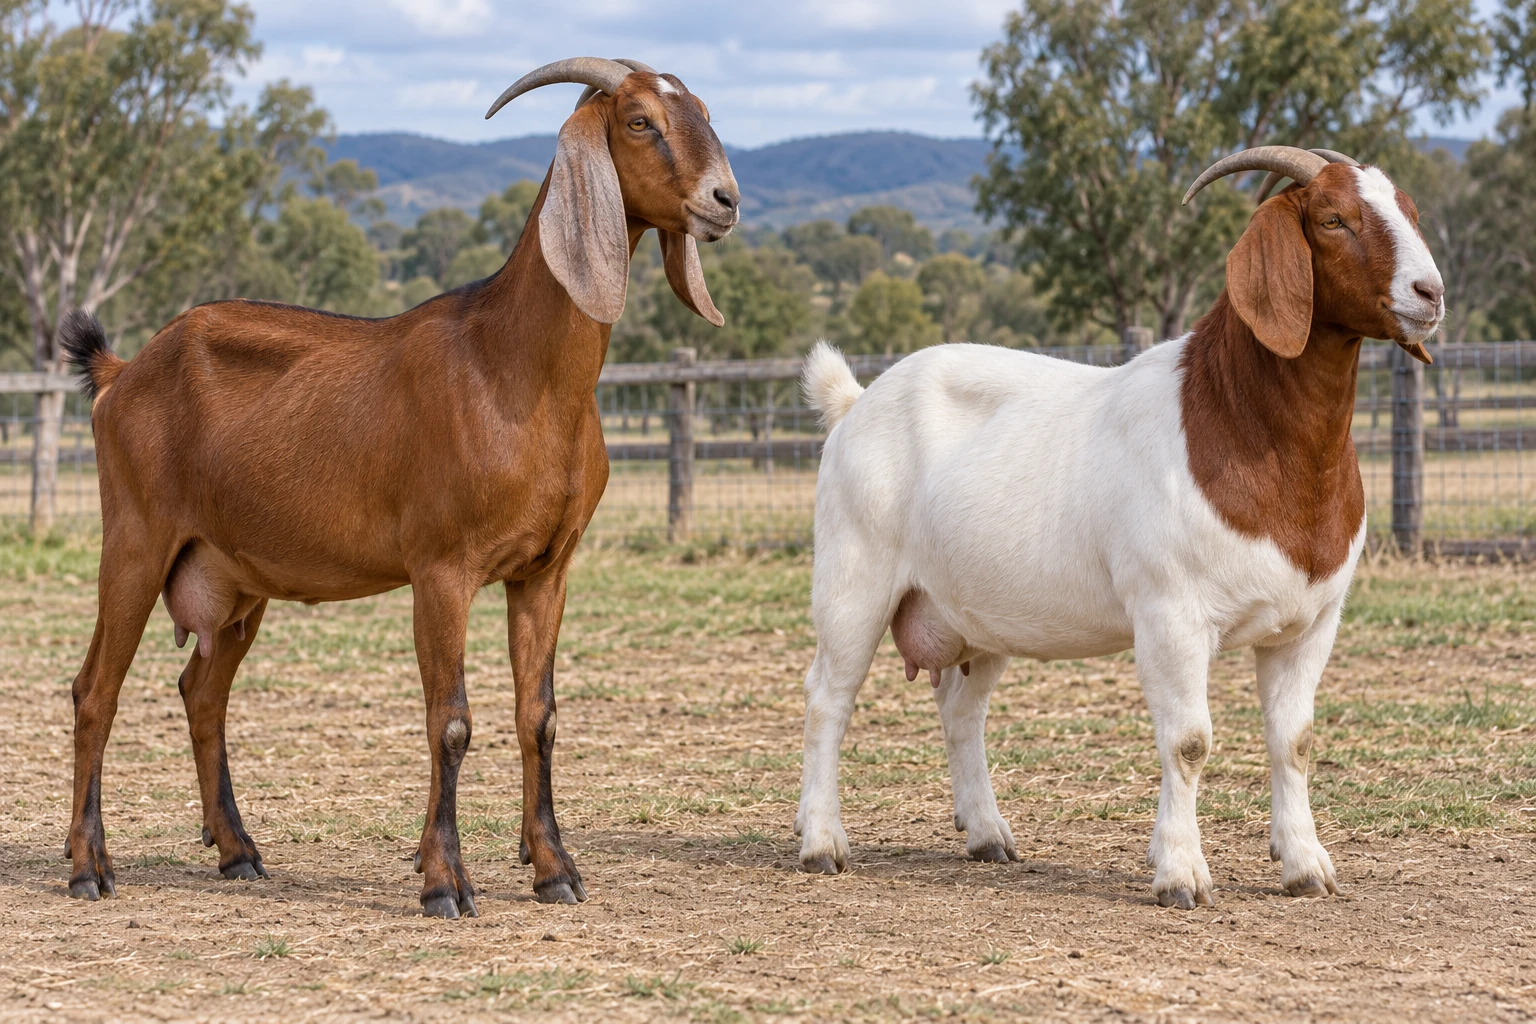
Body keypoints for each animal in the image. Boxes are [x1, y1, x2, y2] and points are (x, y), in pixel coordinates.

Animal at [58, 56, 739, 917]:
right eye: (642, 121)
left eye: (706, 112)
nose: (725, 199)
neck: (511, 366)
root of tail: (123, 372)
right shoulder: (441, 569)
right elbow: (450, 721)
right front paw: (445, 882)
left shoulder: (545, 571)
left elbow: (539, 716)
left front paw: (554, 868)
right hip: (137, 540)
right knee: (95, 691)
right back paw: (89, 866)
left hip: (234, 574)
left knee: (201, 692)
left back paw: (239, 850)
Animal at [795, 146, 1444, 909]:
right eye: (1335, 218)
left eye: (1409, 210)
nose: (1430, 293)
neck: (1239, 421)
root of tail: (855, 402)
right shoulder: (1171, 614)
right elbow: (1189, 742)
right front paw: (1182, 874)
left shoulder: (1310, 623)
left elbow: (1296, 741)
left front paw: (1306, 866)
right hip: (854, 578)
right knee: (828, 698)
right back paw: (821, 842)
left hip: (974, 614)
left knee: (962, 709)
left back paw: (986, 834)